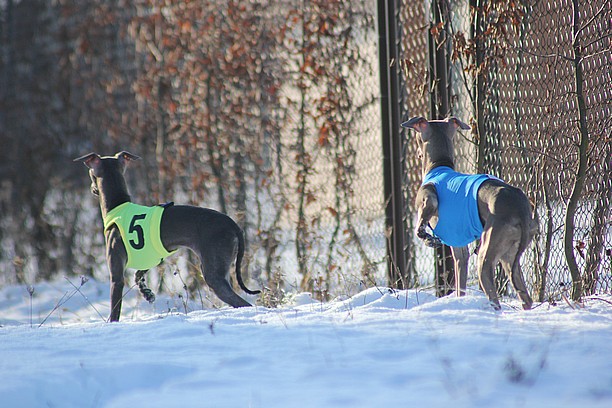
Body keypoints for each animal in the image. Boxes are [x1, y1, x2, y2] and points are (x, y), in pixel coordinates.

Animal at [74, 151, 260, 320]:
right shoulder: (153, 257)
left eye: (91, 174)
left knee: (243, 303)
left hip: (214, 275)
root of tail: (232, 224)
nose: (92, 189)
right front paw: (146, 292)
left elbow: (114, 311)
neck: (118, 204)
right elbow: (138, 275)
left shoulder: (116, 276)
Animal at [400, 117, 532, 310]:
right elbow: (460, 286)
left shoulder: (428, 199)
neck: (439, 166)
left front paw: (426, 237)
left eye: (417, 137)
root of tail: (519, 206)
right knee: (525, 297)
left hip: (485, 258)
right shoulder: (461, 250)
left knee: (494, 298)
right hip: (510, 257)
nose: (417, 153)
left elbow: (423, 221)